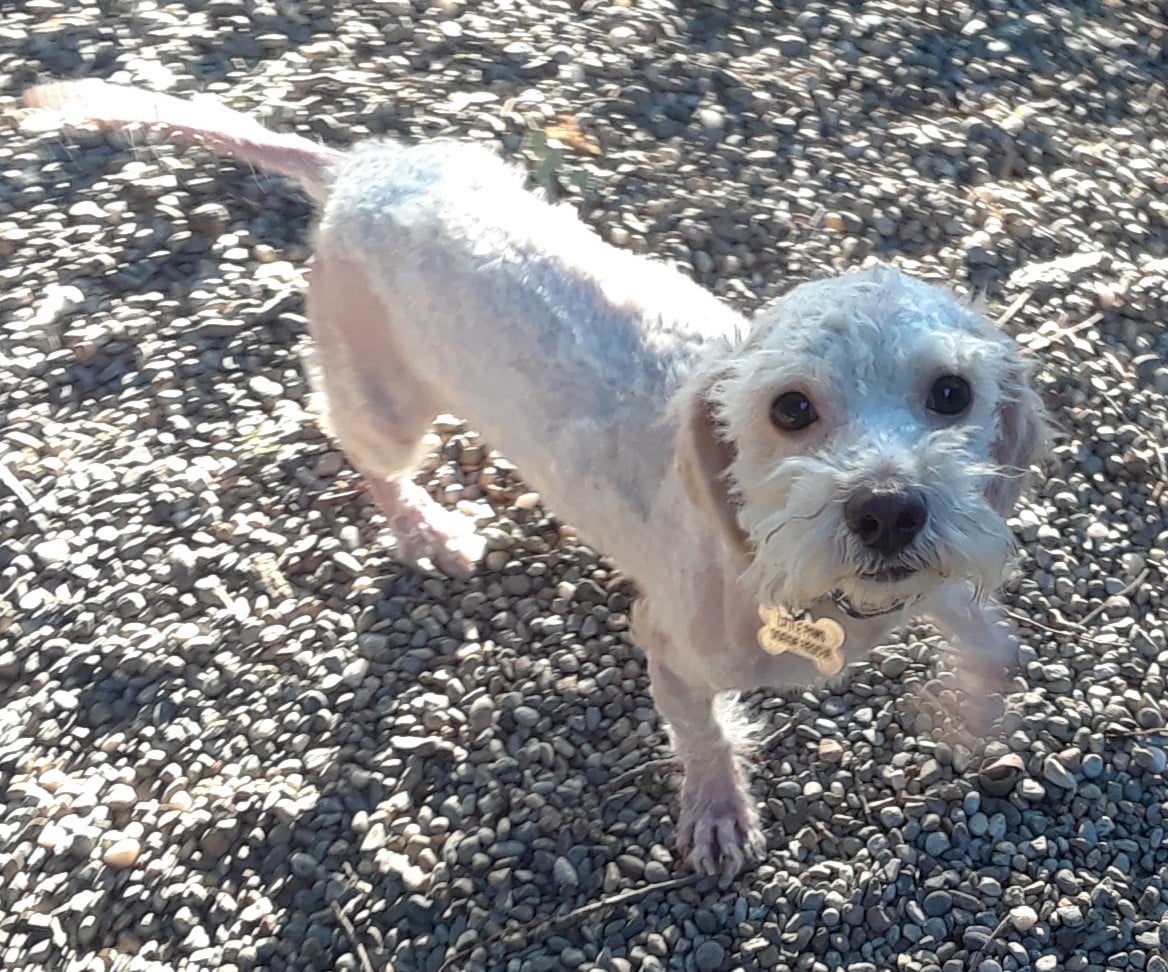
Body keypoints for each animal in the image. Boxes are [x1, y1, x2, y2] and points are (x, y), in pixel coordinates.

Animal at [25, 79, 1041, 878]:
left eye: (952, 392)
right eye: (790, 408)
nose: (889, 510)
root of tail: (360, 169)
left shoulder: (941, 571)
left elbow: (994, 643)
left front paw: (967, 716)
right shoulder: (671, 646)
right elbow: (704, 733)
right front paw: (719, 812)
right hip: (382, 395)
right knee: (366, 457)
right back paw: (427, 529)